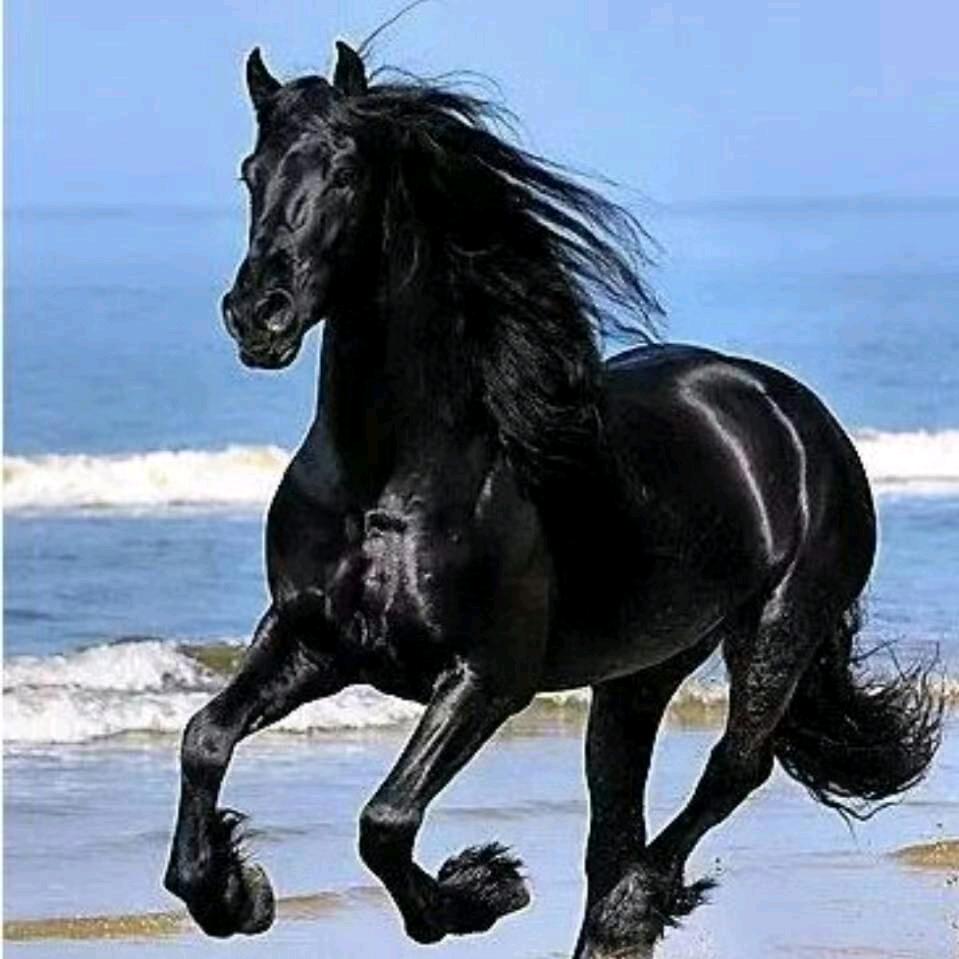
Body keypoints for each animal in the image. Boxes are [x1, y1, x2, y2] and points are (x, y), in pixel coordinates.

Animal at [163, 41, 941, 958]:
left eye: (347, 171)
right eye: (252, 172)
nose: (259, 314)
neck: (388, 482)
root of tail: (789, 409)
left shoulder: (486, 677)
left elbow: (385, 820)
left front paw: (481, 889)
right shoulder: (311, 640)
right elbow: (205, 738)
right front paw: (232, 892)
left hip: (779, 625)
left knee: (733, 766)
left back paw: (633, 906)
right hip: (641, 669)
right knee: (616, 813)